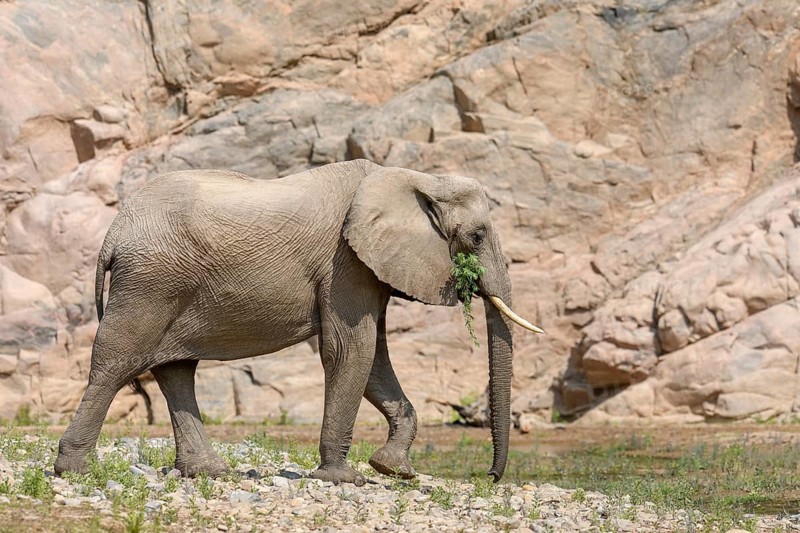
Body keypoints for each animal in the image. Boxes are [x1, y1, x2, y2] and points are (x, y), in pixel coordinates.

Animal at [54, 159, 543, 484]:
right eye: (477, 236)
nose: (490, 477)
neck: (411, 176)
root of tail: (114, 233)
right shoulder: (346, 262)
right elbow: (351, 350)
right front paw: (344, 479)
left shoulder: (366, 268)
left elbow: (374, 358)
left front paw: (393, 470)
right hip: (150, 281)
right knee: (116, 363)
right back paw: (75, 471)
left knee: (175, 370)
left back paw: (209, 472)